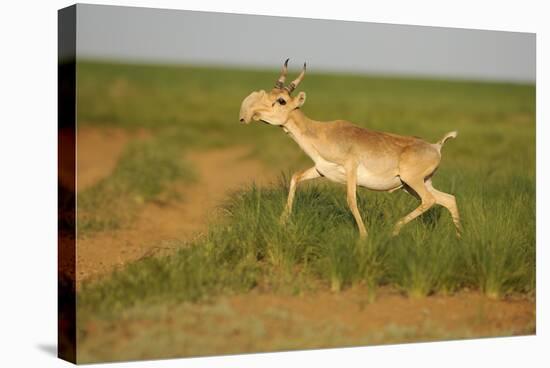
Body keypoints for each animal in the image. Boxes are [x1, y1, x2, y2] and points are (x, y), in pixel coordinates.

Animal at [239, 59, 464, 239]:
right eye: (270, 93)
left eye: (281, 100)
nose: (249, 114)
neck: (321, 132)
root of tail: (436, 146)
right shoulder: (320, 170)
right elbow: (295, 177)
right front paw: (282, 222)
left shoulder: (350, 171)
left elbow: (351, 200)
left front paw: (364, 236)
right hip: (414, 185)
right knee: (448, 199)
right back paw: (459, 239)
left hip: (412, 182)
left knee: (431, 200)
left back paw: (394, 229)